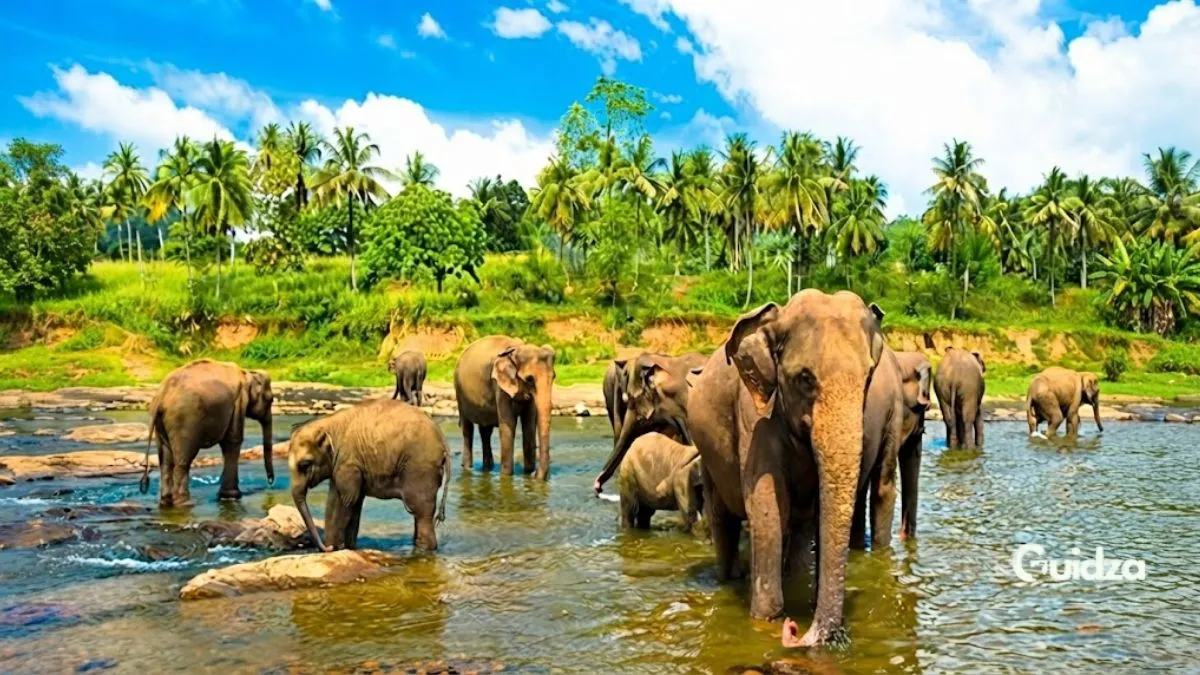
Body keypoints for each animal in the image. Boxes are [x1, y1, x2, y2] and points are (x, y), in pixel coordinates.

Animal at [139, 359, 274, 507]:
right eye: (271, 400)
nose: (270, 482)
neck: (247, 373)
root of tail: (161, 396)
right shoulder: (239, 401)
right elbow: (232, 440)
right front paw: (231, 497)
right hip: (184, 420)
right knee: (182, 461)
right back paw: (185, 502)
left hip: (159, 423)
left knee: (165, 460)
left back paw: (166, 502)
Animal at [288, 399, 451, 552]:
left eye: (304, 465)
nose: (326, 547)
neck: (328, 423)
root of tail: (443, 442)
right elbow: (346, 501)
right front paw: (345, 548)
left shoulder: (349, 463)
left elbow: (346, 502)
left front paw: (334, 549)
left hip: (420, 468)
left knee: (420, 511)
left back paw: (423, 550)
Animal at [454, 336, 556, 479]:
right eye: (529, 379)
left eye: (554, 377)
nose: (534, 474)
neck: (517, 349)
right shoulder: (499, 385)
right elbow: (508, 425)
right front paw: (507, 476)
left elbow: (529, 426)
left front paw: (527, 473)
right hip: (459, 393)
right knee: (467, 429)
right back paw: (468, 468)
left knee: (485, 431)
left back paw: (487, 468)